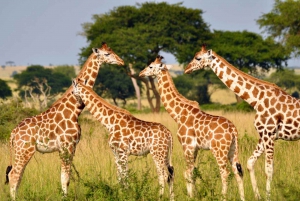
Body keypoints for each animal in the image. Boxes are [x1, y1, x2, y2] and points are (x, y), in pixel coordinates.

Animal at [4, 42, 124, 199]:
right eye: (107, 54)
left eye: (112, 50)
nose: (122, 61)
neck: (74, 110)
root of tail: (12, 134)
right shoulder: (67, 145)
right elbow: (66, 177)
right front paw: (65, 198)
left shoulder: (70, 147)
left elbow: (64, 177)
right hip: (24, 150)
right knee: (14, 175)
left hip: (22, 151)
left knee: (18, 175)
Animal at [139, 55, 245, 200]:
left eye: (150, 66)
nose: (140, 73)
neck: (178, 114)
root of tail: (233, 130)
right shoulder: (195, 148)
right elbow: (193, 172)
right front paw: (194, 194)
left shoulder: (187, 145)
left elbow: (187, 172)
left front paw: (190, 196)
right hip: (233, 150)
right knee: (237, 171)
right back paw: (242, 197)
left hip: (219, 150)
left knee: (225, 172)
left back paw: (223, 197)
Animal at [184, 44, 300, 200]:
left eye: (198, 57)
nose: (186, 69)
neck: (256, 100)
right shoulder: (265, 135)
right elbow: (250, 163)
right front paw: (258, 196)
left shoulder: (269, 134)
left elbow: (268, 170)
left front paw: (268, 197)